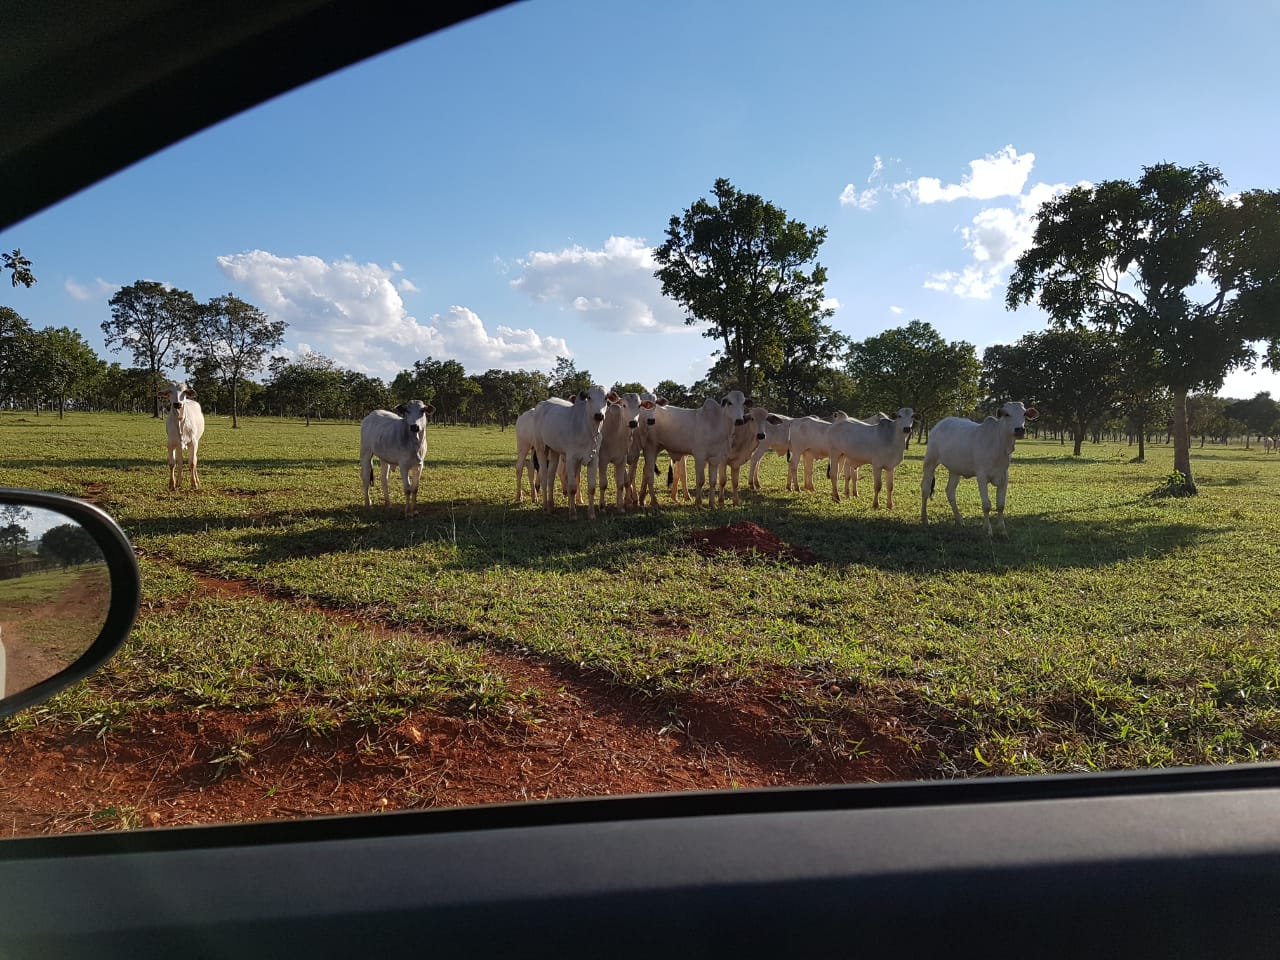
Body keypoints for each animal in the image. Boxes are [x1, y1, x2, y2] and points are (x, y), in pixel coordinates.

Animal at [527, 384, 611, 519]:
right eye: (589, 397)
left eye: (606, 398)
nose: (599, 415)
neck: (589, 431)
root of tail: (541, 405)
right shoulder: (571, 458)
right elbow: (572, 487)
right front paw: (572, 513)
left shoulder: (593, 459)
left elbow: (592, 487)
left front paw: (591, 513)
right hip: (541, 449)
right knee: (544, 477)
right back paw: (545, 507)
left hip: (554, 451)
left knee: (551, 478)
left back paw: (551, 506)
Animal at [921, 399, 1039, 535]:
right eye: (1007, 414)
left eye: (1024, 414)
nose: (1020, 429)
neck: (999, 445)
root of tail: (939, 424)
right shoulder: (982, 476)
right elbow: (986, 505)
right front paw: (988, 530)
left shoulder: (1004, 476)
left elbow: (1001, 505)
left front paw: (1002, 530)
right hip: (930, 461)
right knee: (925, 489)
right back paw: (925, 519)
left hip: (955, 470)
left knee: (950, 491)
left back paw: (959, 520)